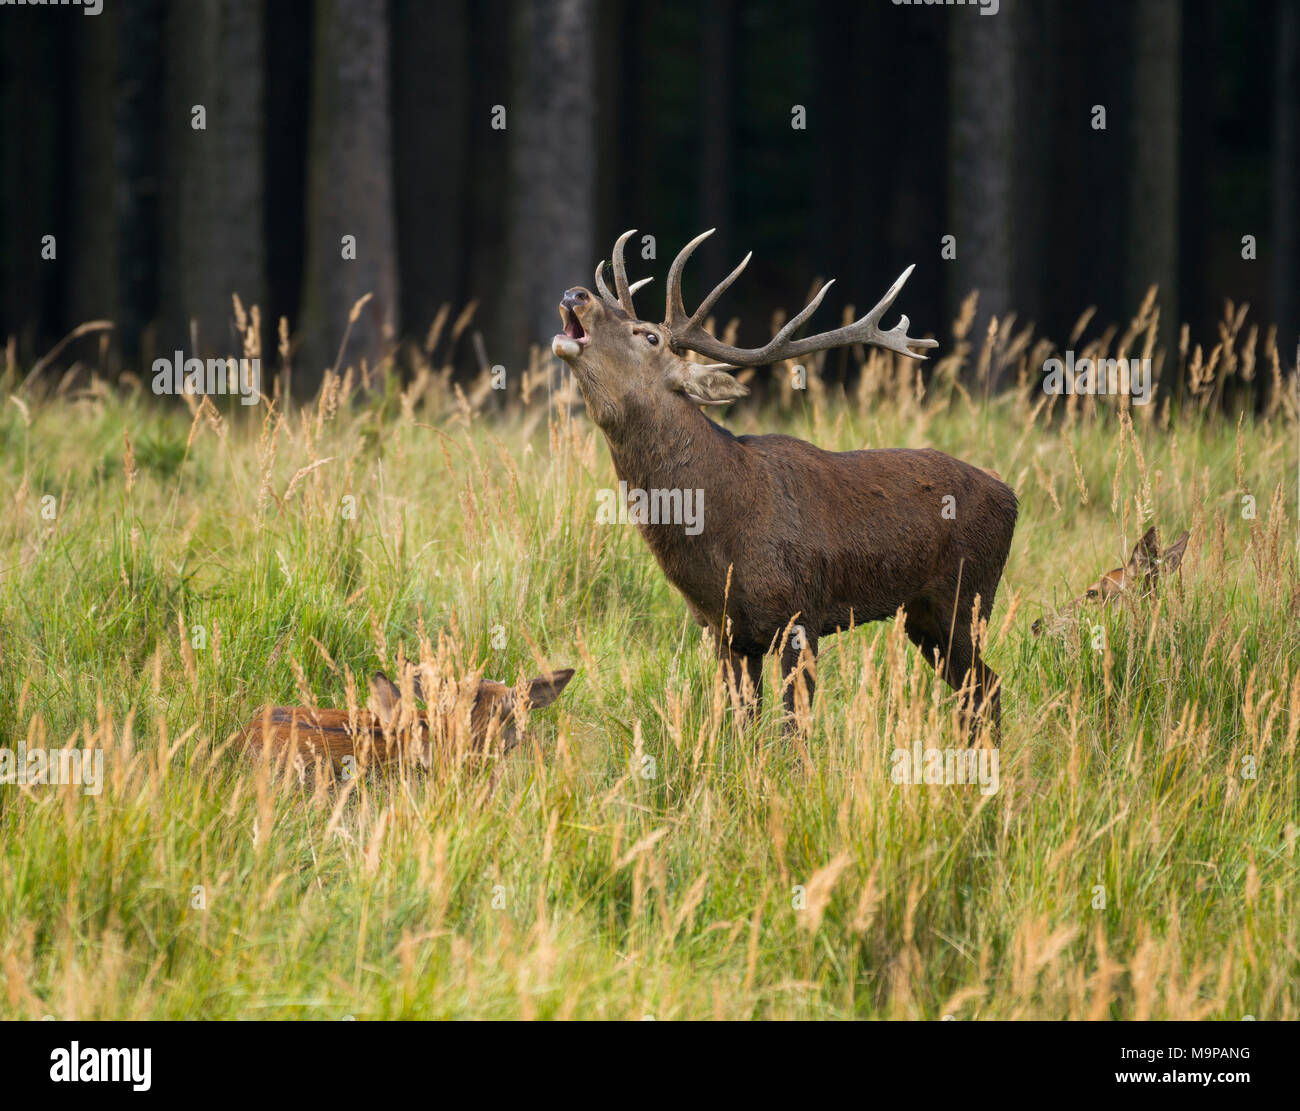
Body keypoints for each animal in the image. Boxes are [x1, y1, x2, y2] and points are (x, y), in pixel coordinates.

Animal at [551, 229, 1018, 742]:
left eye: (649, 336)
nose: (576, 294)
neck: (722, 528)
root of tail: (1012, 497)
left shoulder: (801, 613)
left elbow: (794, 728)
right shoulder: (724, 631)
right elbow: (743, 724)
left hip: (968, 595)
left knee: (987, 686)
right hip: (923, 616)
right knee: (976, 691)